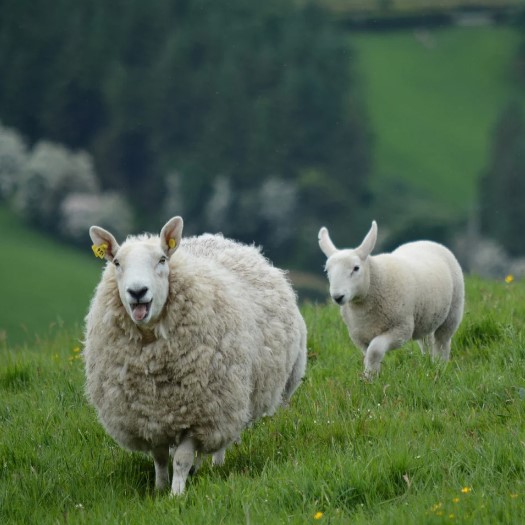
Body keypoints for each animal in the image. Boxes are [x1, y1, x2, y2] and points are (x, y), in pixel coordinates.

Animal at [83, 215, 308, 494]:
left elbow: (181, 458)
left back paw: (215, 465)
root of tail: (221, 239)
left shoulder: (200, 412)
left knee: (222, 438)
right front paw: (159, 488)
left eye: (162, 260)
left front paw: (176, 494)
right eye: (116, 263)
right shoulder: (148, 417)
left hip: (232, 397)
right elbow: (160, 457)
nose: (137, 292)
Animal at [318, 221, 464, 376]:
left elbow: (375, 350)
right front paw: (370, 375)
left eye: (356, 268)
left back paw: (440, 365)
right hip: (426, 316)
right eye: (327, 271)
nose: (337, 297)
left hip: (453, 311)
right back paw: (429, 364)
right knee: (427, 340)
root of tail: (425, 241)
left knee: (442, 341)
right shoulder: (360, 337)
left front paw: (370, 376)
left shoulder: (401, 329)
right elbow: (368, 355)